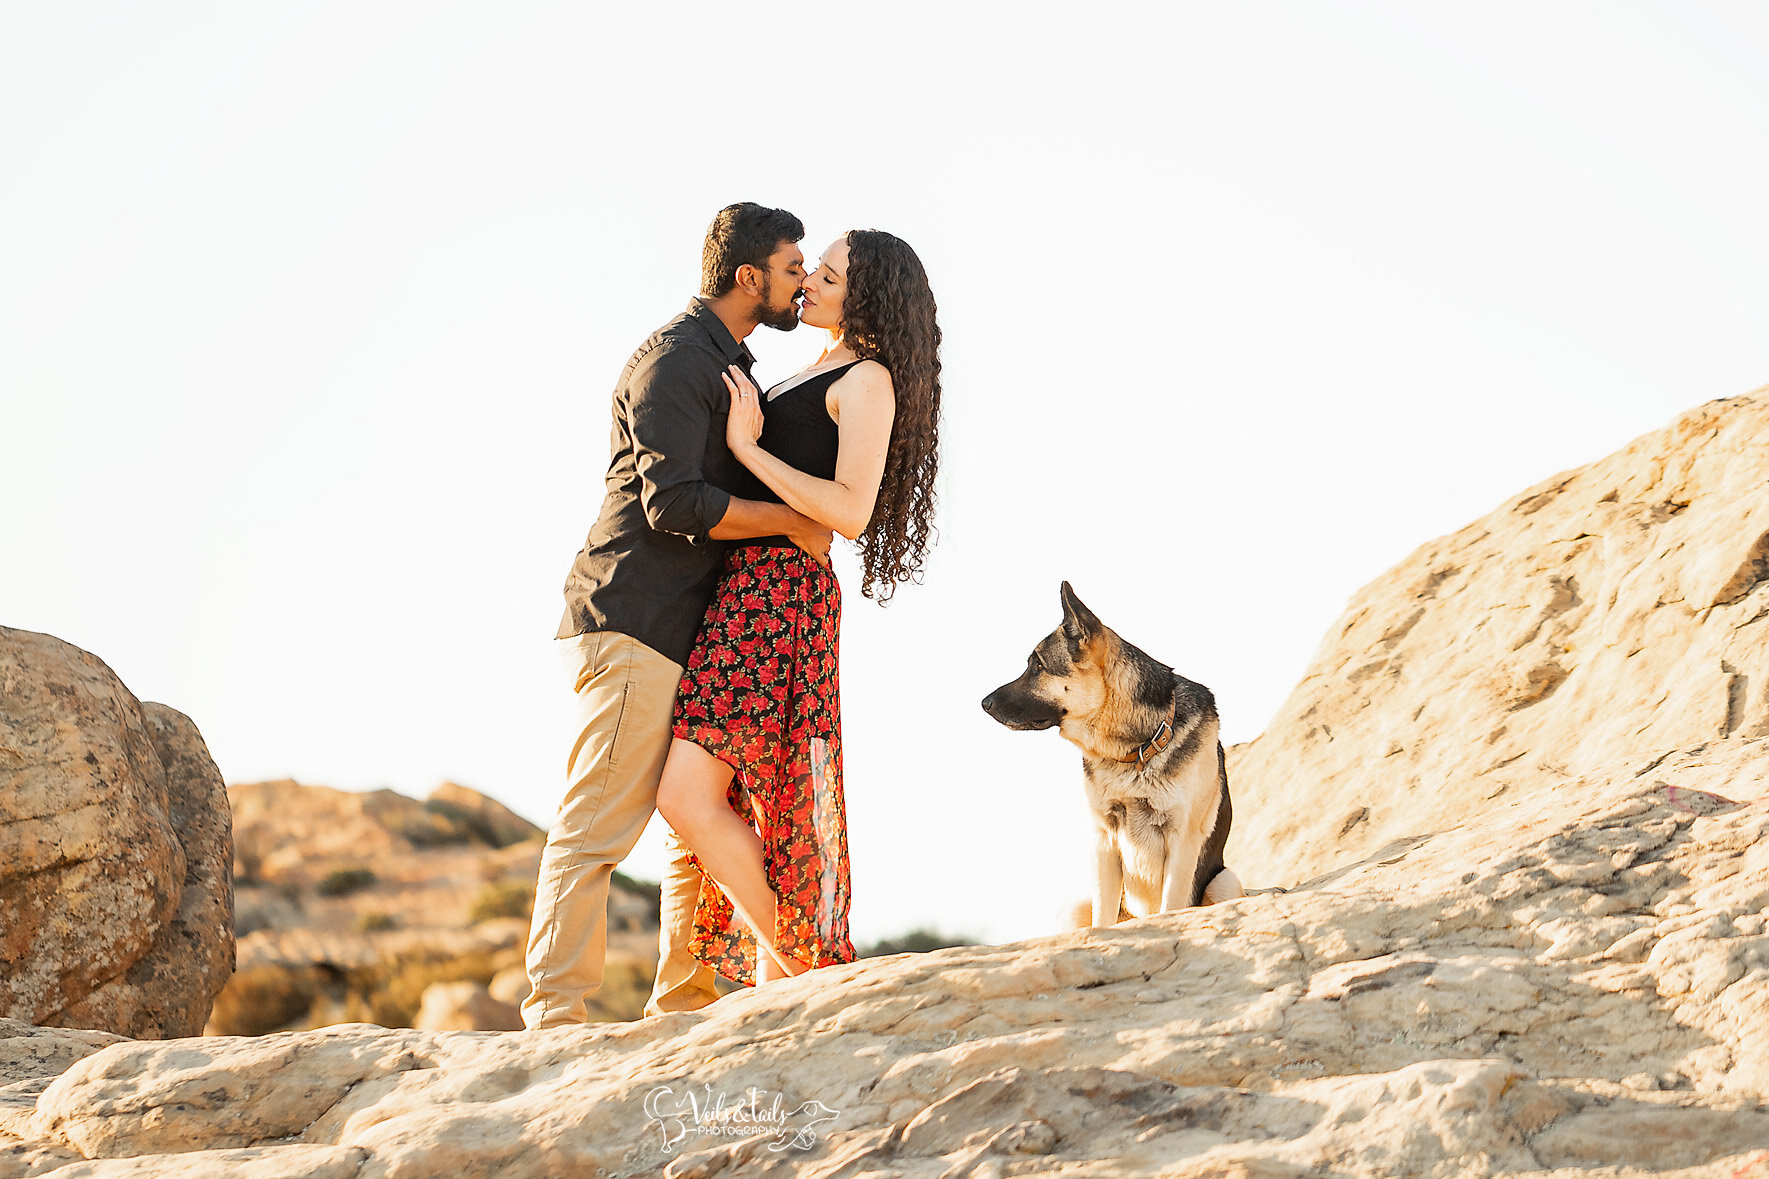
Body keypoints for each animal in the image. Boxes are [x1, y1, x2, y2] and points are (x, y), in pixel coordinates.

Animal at [983, 584, 1245, 920]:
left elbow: (1170, 906)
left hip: (1225, 881)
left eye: (1038, 666)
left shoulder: (1182, 842)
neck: (1138, 748)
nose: (984, 703)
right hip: (1075, 905)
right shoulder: (1103, 840)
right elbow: (1101, 919)